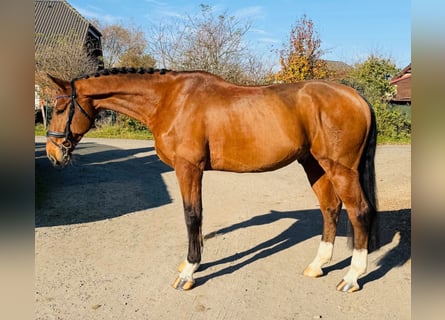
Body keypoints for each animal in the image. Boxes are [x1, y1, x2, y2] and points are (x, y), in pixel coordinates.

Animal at [45, 67, 376, 292]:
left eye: (60, 108)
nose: (52, 154)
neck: (170, 100)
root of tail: (356, 97)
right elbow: (197, 216)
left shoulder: (188, 168)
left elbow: (192, 215)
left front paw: (188, 272)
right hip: (314, 164)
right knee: (330, 208)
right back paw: (317, 266)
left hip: (340, 168)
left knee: (359, 212)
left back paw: (351, 277)